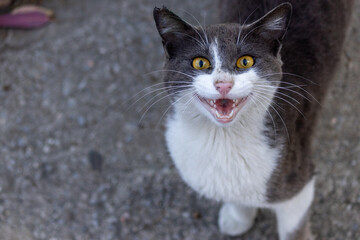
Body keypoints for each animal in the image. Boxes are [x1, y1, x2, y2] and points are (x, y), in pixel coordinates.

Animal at [152, 0, 354, 239]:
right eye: (200, 63)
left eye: (245, 61)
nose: (223, 83)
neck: (222, 140)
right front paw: (239, 217)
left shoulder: (297, 182)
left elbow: (294, 229)